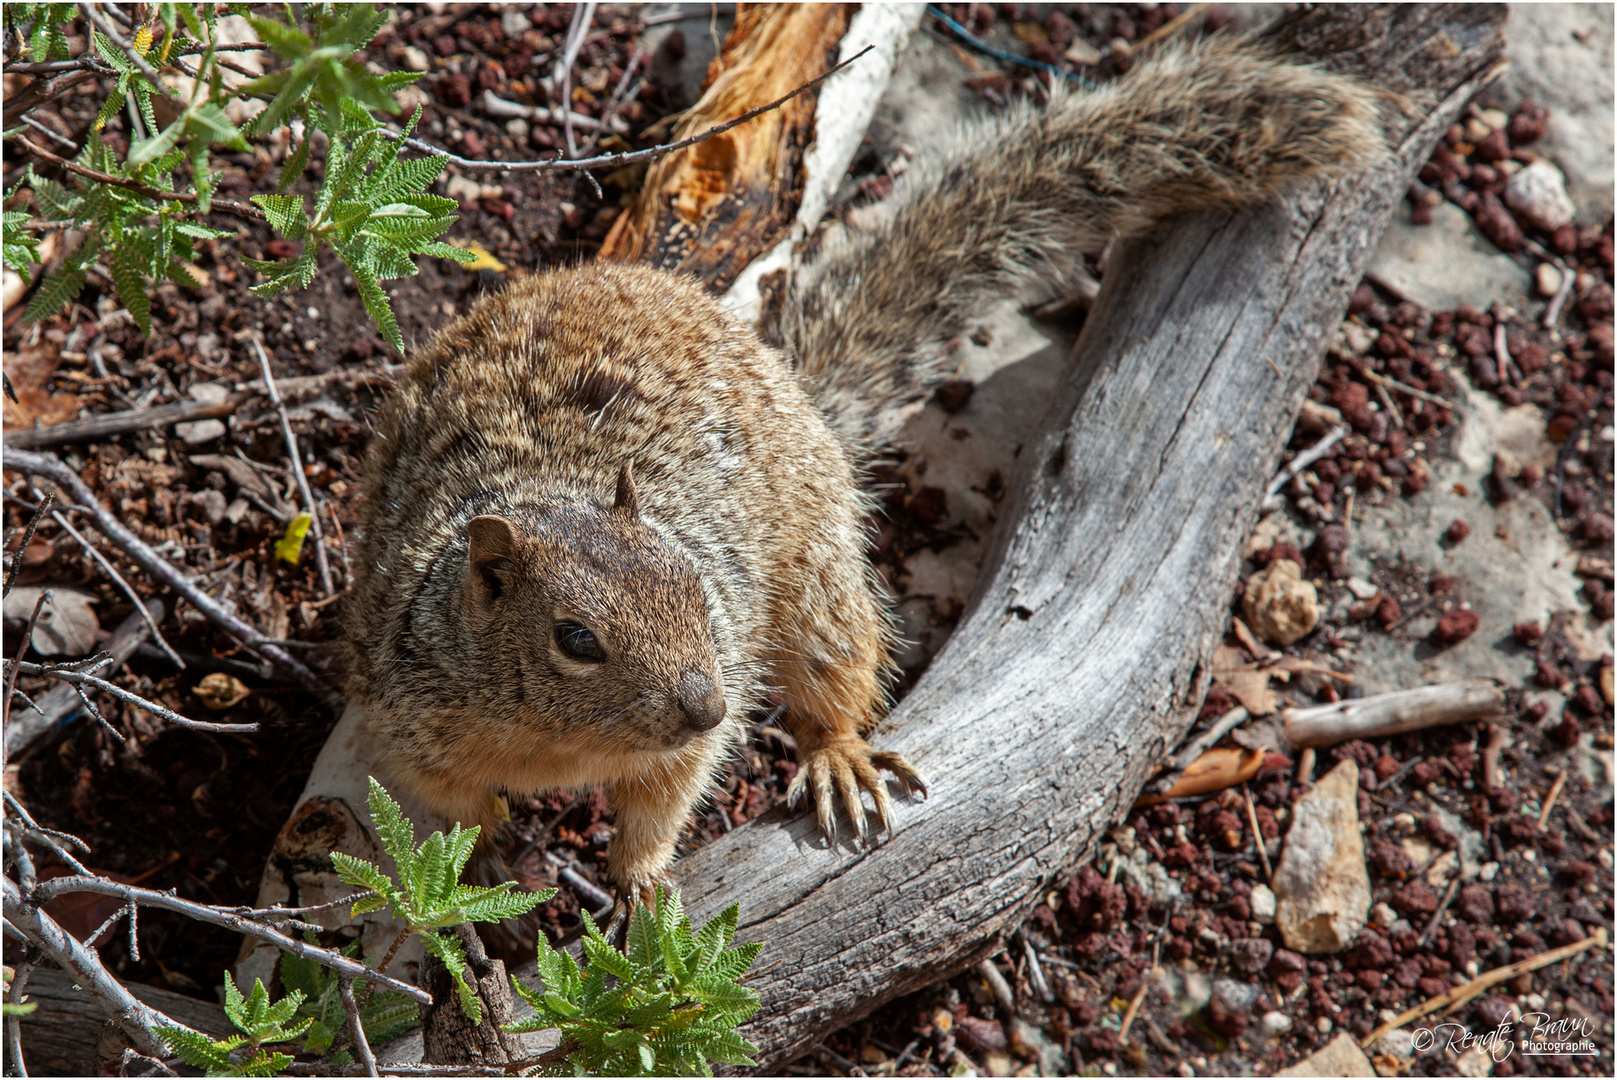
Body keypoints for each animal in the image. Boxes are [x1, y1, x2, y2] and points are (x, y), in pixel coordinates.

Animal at [347, 40, 1384, 905]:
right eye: (575, 640)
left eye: (695, 590)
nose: (705, 702)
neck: (558, 744)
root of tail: (779, 369)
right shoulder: (407, 725)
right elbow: (451, 810)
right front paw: (483, 871)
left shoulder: (686, 731)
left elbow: (665, 800)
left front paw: (639, 877)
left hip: (815, 583)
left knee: (837, 673)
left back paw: (837, 758)